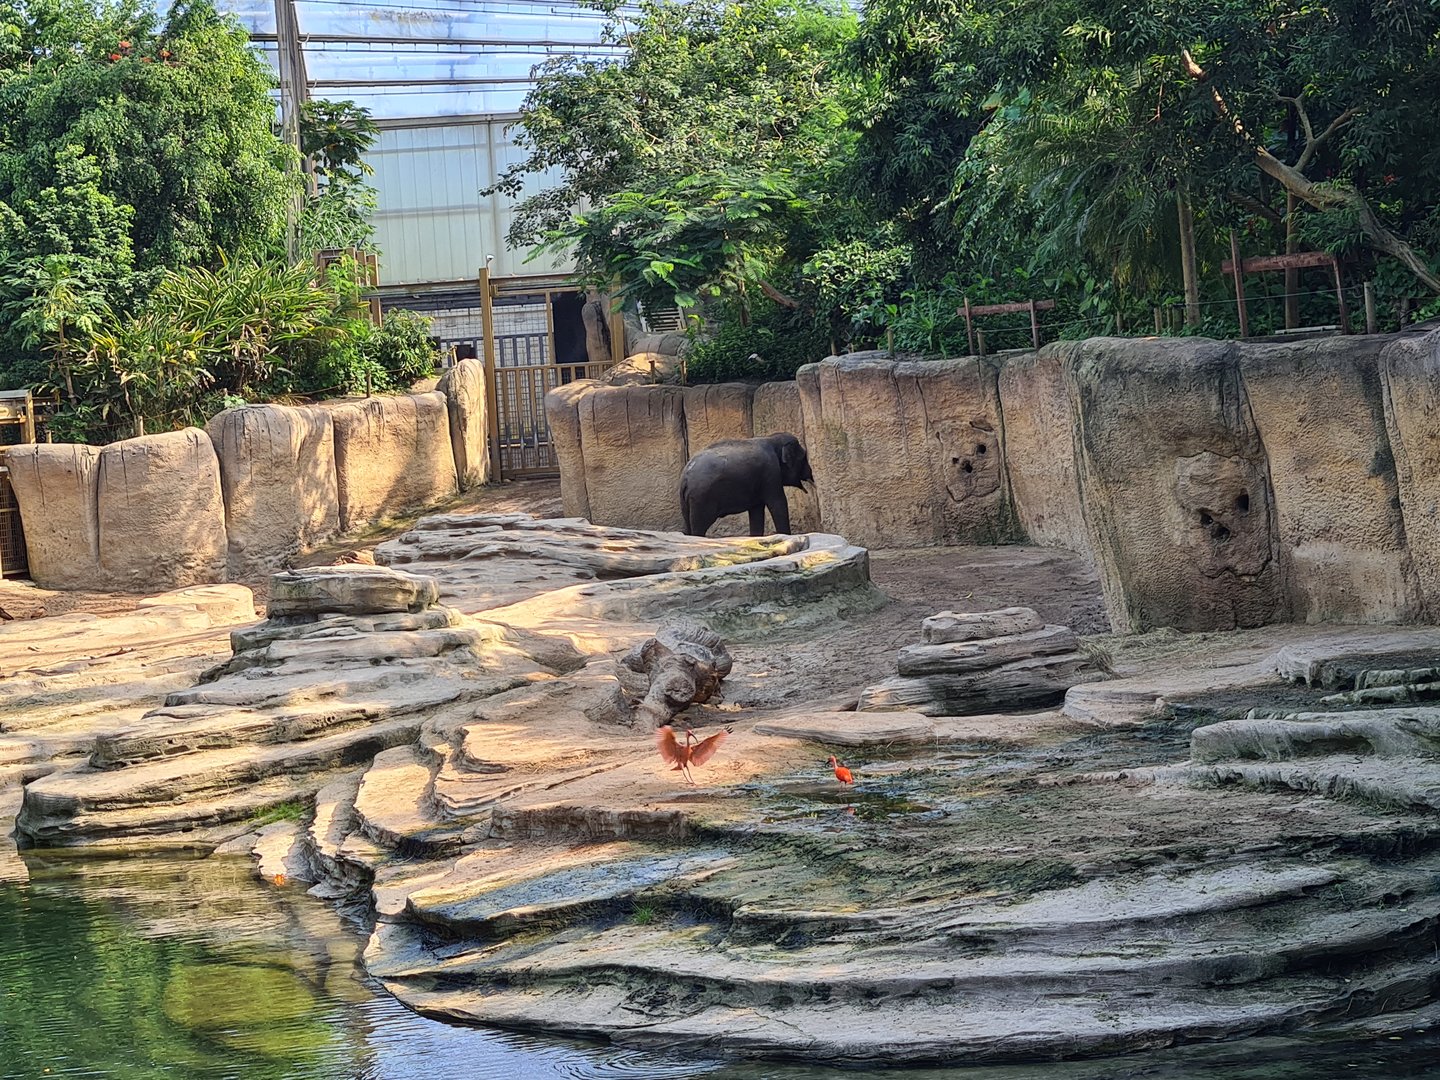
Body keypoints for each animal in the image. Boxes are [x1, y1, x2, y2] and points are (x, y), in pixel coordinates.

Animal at [679, 432, 814, 537]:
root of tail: (685, 477)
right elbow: (778, 503)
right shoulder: (771, 472)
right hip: (701, 498)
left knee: (688, 524)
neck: (771, 438)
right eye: (803, 458)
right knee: (699, 526)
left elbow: (757, 510)